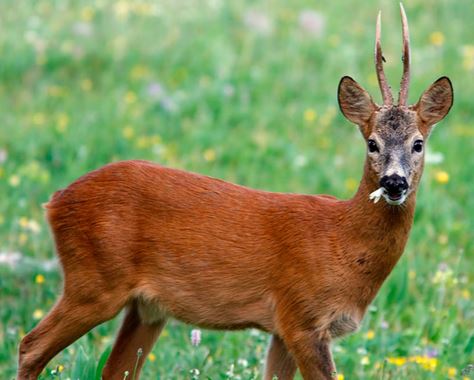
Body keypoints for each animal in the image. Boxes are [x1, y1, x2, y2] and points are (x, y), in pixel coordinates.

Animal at [16, 3, 454, 380]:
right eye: (372, 144)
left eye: (418, 143)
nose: (394, 183)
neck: (343, 242)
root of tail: (56, 200)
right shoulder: (302, 317)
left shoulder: (283, 329)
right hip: (94, 280)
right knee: (29, 346)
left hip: (146, 307)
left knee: (114, 369)